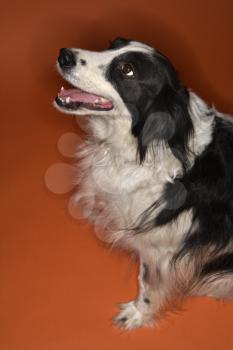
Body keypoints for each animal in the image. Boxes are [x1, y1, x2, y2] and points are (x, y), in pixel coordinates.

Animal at [53, 38, 233, 330]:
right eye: (111, 45)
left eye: (127, 70)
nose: (64, 55)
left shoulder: (160, 247)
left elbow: (147, 283)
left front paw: (137, 314)